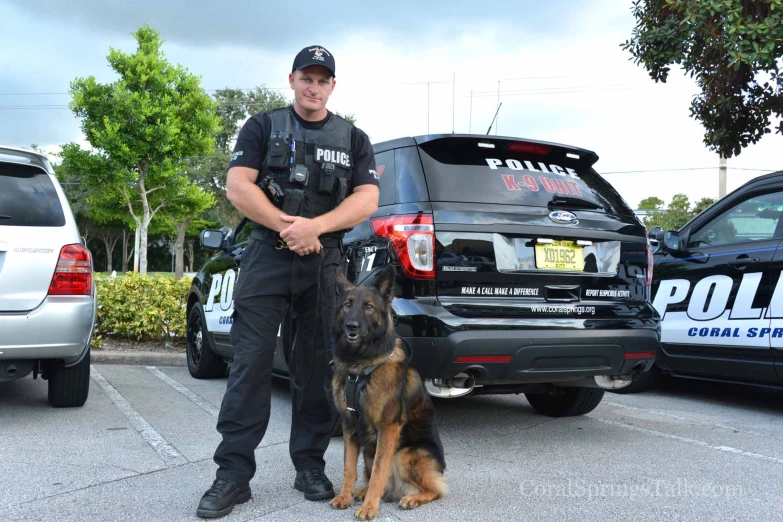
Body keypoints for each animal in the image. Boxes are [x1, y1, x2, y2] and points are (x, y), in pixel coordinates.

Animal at [330, 266, 448, 516]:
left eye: (368, 306)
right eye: (347, 304)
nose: (351, 326)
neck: (360, 366)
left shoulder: (388, 428)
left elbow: (378, 471)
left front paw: (369, 508)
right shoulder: (349, 425)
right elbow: (349, 467)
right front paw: (344, 496)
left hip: (404, 454)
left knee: (436, 489)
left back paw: (411, 498)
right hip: (369, 448)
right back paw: (363, 491)